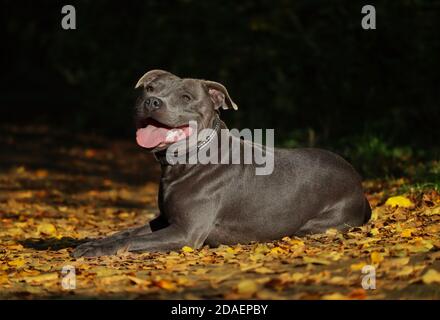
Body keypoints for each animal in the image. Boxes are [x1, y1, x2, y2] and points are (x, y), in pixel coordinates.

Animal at [73, 70, 372, 258]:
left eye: (186, 97)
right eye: (149, 88)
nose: (152, 101)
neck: (189, 158)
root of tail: (357, 178)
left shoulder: (185, 232)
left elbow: (133, 239)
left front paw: (93, 250)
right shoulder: (165, 220)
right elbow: (125, 232)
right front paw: (95, 241)